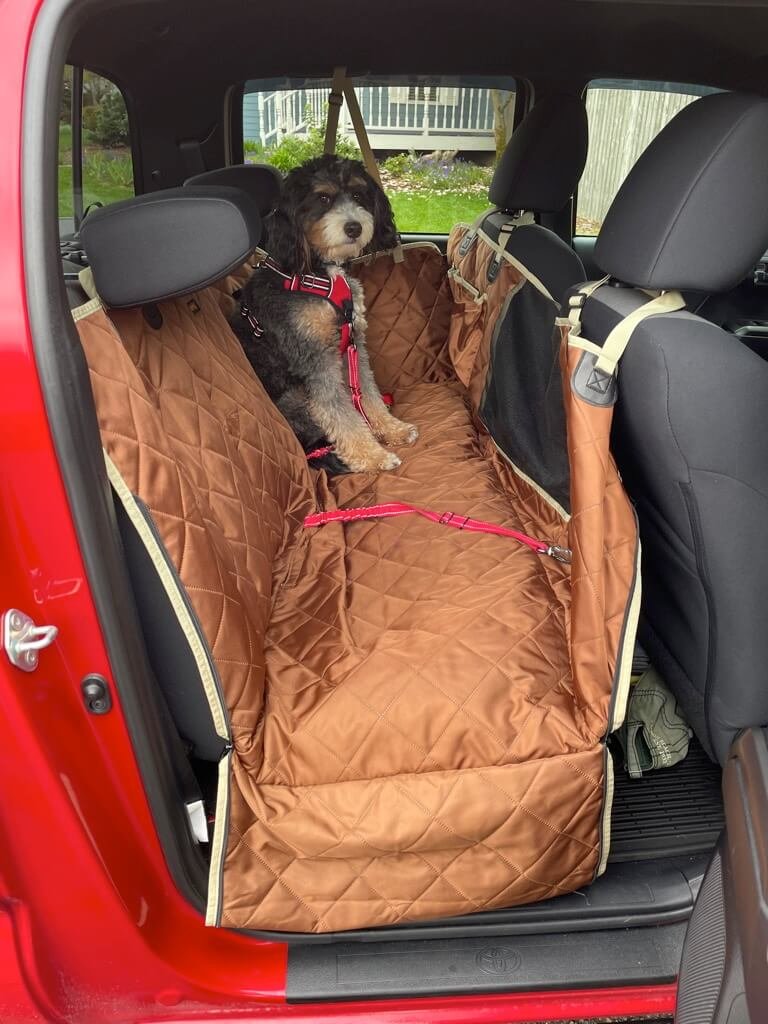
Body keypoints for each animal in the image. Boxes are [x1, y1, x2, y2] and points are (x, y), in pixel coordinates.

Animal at [230, 153, 417, 473]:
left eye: (358, 195)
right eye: (324, 198)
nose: (354, 227)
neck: (318, 276)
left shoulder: (353, 346)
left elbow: (367, 393)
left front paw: (392, 428)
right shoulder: (314, 359)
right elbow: (340, 413)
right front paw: (372, 455)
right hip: (294, 397)